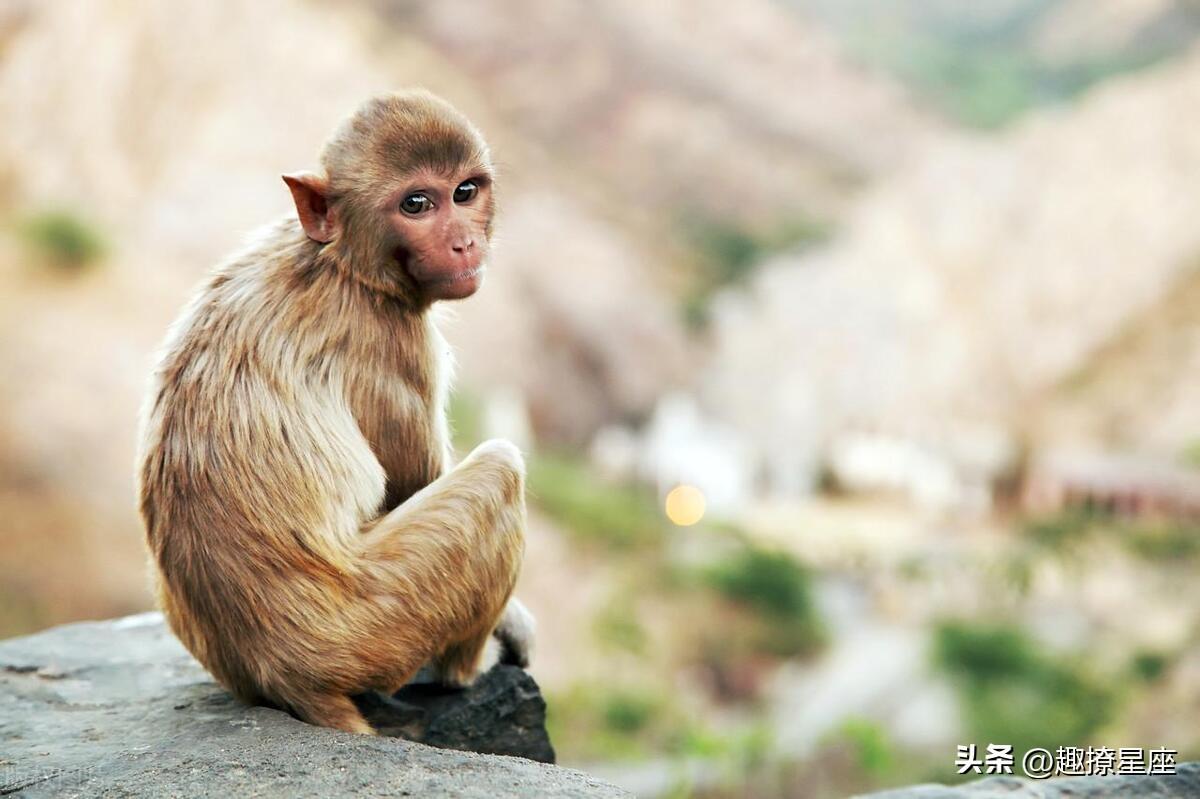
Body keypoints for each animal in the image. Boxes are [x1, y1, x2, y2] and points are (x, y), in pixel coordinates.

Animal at [135, 89, 535, 729]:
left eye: (465, 192)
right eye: (417, 203)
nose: (465, 243)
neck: (342, 260)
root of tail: (284, 678)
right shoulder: (396, 344)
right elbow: (411, 485)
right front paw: (513, 621)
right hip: (377, 624)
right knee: (500, 469)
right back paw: (463, 672)